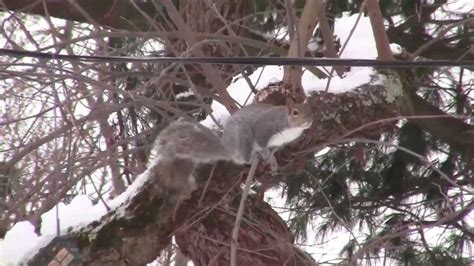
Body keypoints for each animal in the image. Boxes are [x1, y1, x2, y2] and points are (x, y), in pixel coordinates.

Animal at [150, 102, 312, 202]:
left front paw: (273, 161)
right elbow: (262, 141)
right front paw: (265, 153)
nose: (309, 121)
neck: (290, 128)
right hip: (243, 135)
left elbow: (273, 151)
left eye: (311, 110)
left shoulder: (279, 144)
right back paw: (252, 157)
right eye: (295, 112)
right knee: (243, 158)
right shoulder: (264, 127)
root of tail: (227, 147)